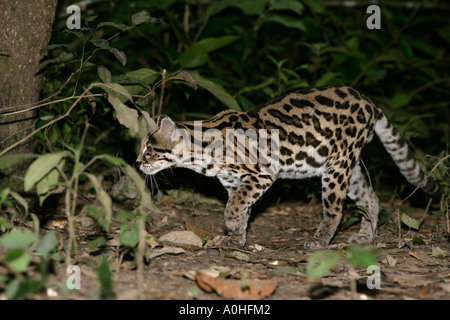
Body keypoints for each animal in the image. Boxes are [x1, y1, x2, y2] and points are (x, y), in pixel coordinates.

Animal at [137, 86, 440, 249]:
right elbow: (240, 206)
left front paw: (232, 227)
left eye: (149, 149)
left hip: (337, 165)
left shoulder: (262, 173)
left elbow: (235, 206)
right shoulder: (234, 182)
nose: (138, 162)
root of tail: (367, 100)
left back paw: (321, 240)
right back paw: (366, 235)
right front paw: (237, 238)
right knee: (371, 199)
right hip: (347, 166)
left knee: (335, 209)